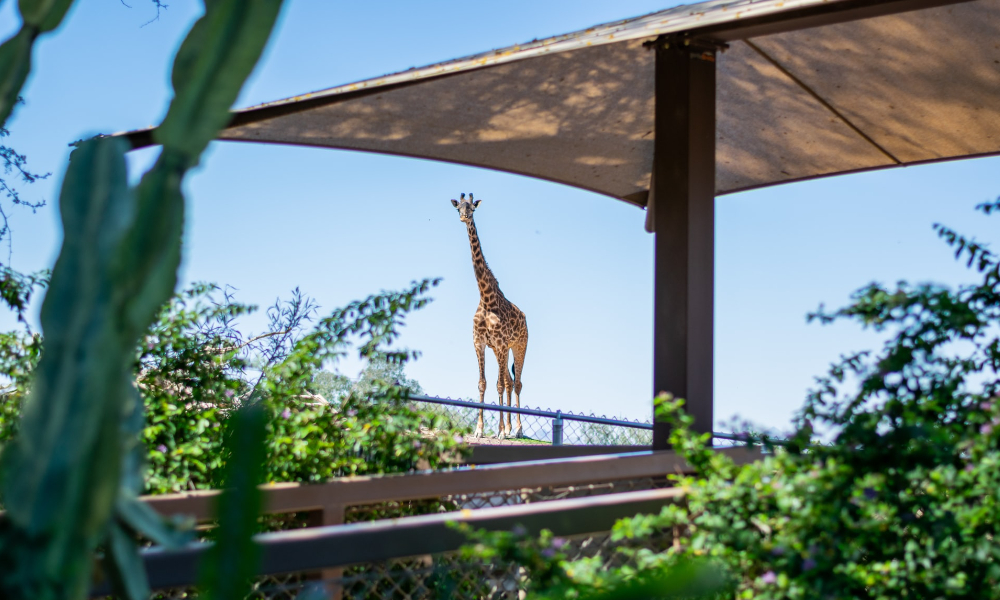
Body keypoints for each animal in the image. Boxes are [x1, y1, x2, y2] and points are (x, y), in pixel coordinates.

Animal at [452, 195, 532, 438]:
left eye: (472, 208)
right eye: (458, 208)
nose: (464, 217)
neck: (487, 299)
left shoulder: (500, 343)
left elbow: (498, 385)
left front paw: (501, 432)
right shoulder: (479, 342)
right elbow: (483, 383)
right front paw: (479, 430)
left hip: (519, 345)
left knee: (516, 383)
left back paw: (517, 429)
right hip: (501, 350)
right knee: (509, 381)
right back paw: (510, 427)